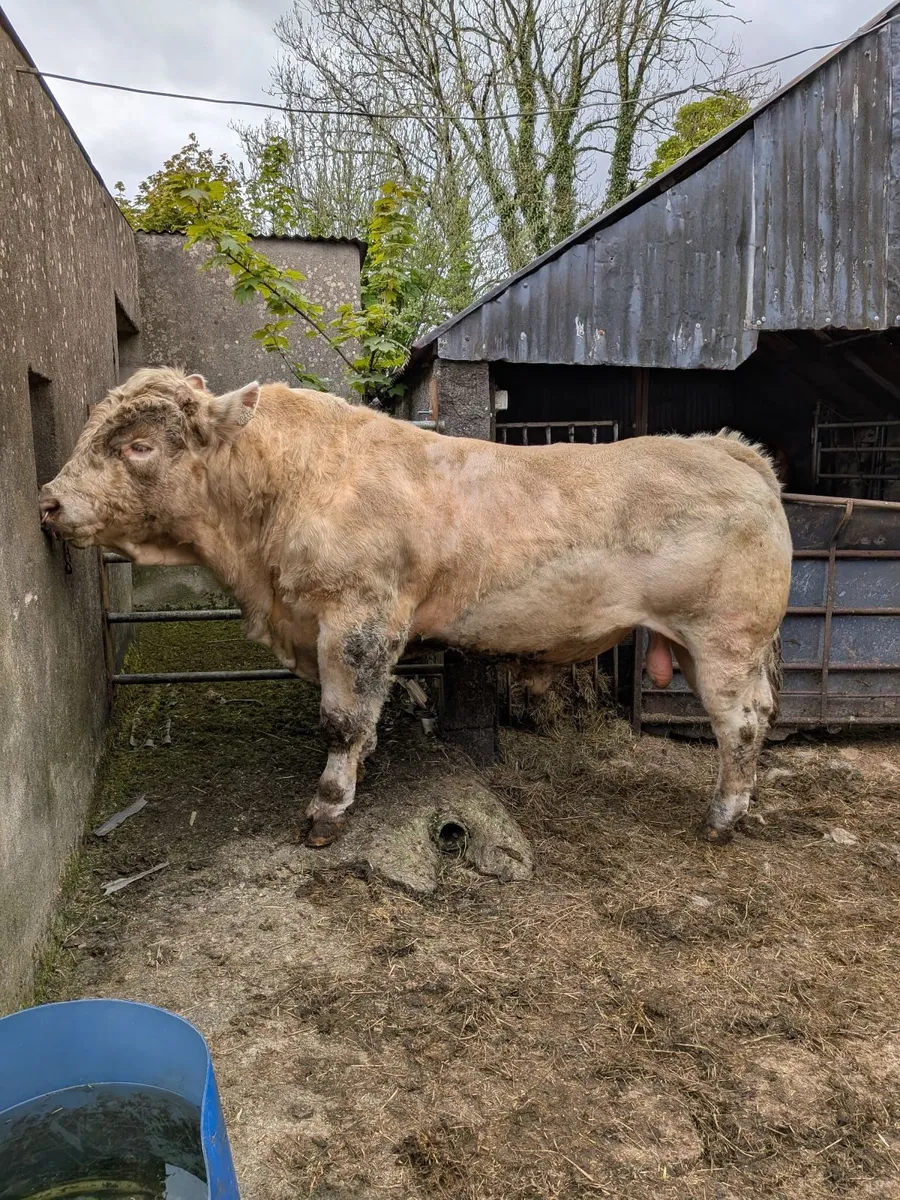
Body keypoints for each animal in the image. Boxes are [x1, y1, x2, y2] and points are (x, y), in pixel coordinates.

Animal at [39, 368, 793, 849]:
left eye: (137, 444)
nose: (48, 500)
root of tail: (727, 449)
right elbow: (362, 714)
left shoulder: (358, 618)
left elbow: (342, 719)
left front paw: (328, 808)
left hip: (725, 639)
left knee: (742, 724)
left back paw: (722, 818)